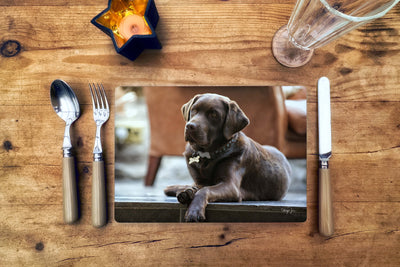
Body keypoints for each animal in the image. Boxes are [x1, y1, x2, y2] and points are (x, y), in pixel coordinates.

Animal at [164, 93, 292, 223]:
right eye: (194, 110)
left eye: (214, 114)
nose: (190, 126)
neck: (208, 154)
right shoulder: (200, 181)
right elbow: (199, 186)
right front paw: (187, 192)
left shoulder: (231, 186)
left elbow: (205, 190)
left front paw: (194, 212)